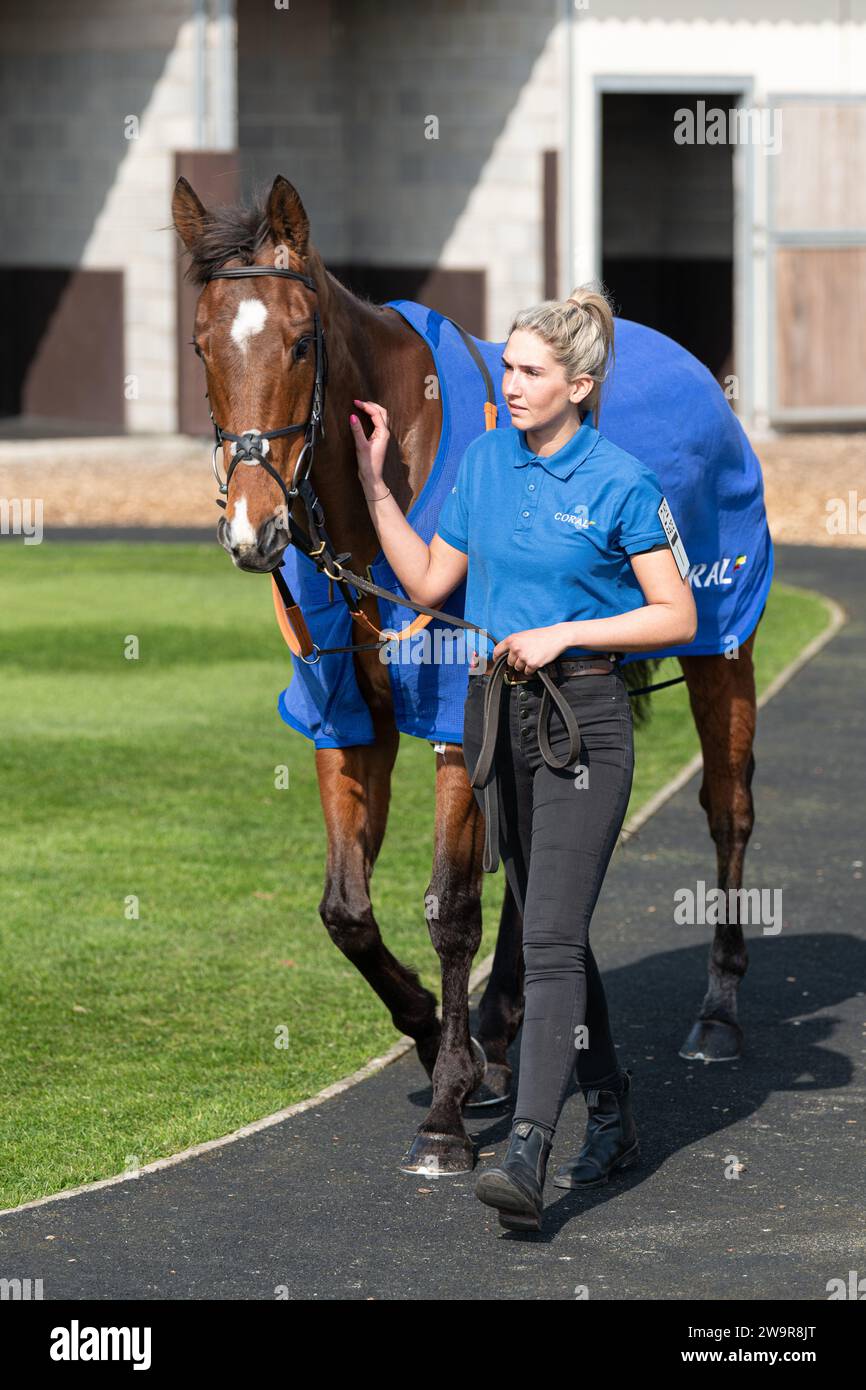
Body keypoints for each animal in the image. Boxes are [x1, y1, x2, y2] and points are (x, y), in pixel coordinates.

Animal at [173, 170, 761, 1173]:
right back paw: (505, 1015)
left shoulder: (460, 718)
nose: (254, 528)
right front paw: (436, 1035)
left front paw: (448, 1108)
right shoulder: (345, 716)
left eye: (299, 341)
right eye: (203, 344)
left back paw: (719, 1013)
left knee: (728, 810)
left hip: (721, 648)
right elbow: (345, 910)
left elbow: (450, 905)